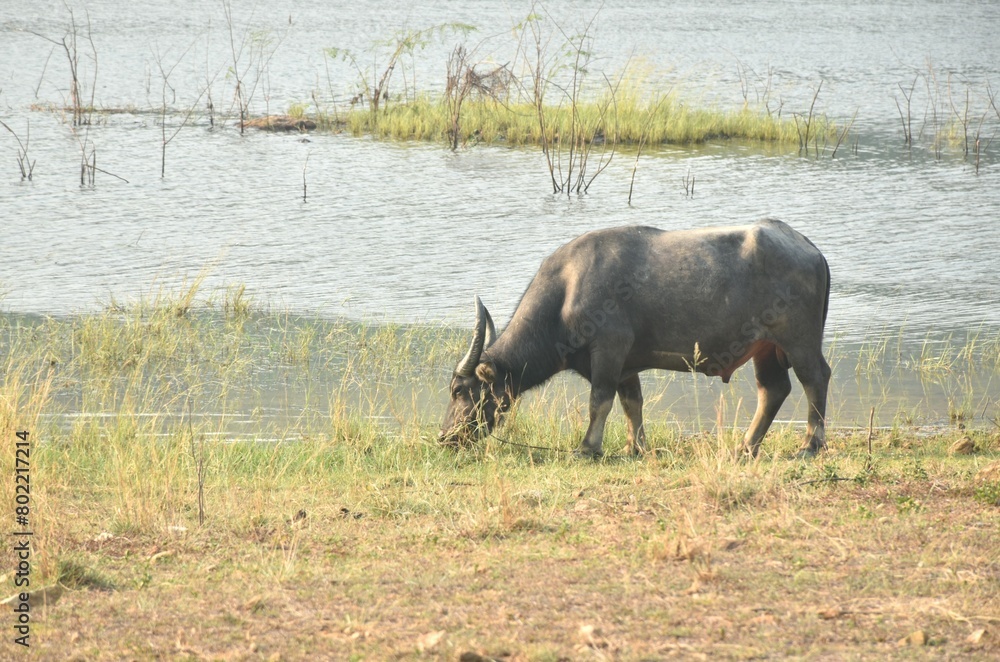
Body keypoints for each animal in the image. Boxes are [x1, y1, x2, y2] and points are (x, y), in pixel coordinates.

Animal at [442, 220, 832, 460]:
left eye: (459, 391)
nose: (445, 437)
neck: (567, 289)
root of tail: (811, 249)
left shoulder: (609, 350)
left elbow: (599, 400)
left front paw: (588, 447)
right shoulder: (626, 366)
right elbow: (632, 403)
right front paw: (636, 447)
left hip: (799, 341)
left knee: (815, 378)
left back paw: (810, 445)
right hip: (766, 348)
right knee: (773, 389)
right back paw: (746, 447)